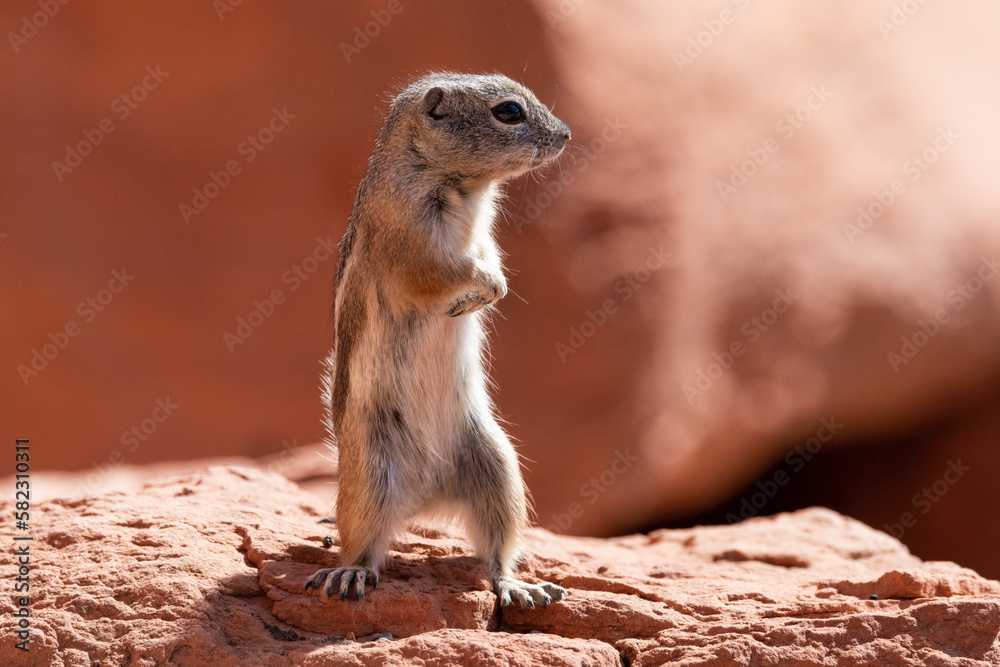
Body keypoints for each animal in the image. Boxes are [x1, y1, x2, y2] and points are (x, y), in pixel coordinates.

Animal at [305, 72, 571, 610]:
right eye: (509, 112)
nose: (567, 135)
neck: (464, 187)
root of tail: (423, 499)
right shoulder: (412, 245)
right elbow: (449, 272)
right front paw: (481, 291)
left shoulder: (484, 237)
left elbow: (491, 259)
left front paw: (488, 293)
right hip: (370, 476)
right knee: (363, 543)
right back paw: (349, 572)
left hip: (497, 467)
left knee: (497, 551)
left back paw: (518, 585)